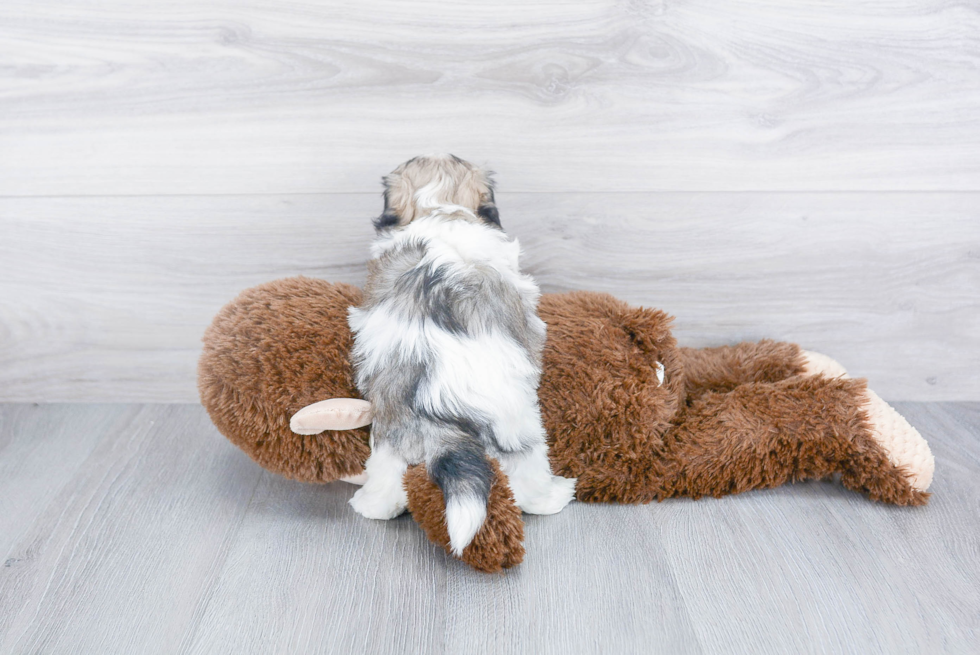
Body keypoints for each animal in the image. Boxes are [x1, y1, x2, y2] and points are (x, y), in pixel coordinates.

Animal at [346, 156, 576, 556]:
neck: (440, 207)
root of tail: (429, 399)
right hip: (517, 419)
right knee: (528, 470)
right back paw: (554, 496)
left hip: (391, 421)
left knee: (387, 468)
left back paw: (372, 505)